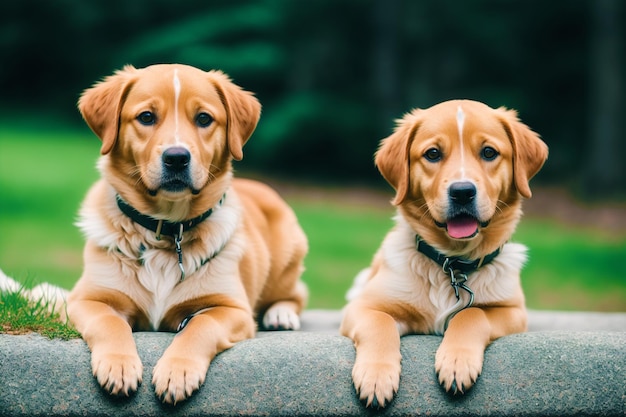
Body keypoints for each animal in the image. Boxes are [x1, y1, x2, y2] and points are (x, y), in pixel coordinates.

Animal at [67, 64, 306, 404]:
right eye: (146, 117)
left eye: (204, 119)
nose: (177, 157)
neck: (167, 227)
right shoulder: (85, 299)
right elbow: (108, 320)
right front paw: (119, 365)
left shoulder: (232, 309)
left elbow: (200, 324)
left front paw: (177, 370)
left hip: (286, 260)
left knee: (295, 294)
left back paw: (281, 315)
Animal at [336, 100, 544, 406]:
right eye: (433, 154)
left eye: (489, 152)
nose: (462, 191)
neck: (452, 263)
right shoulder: (363, 307)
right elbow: (379, 322)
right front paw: (376, 376)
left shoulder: (514, 312)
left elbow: (471, 314)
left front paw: (457, 362)